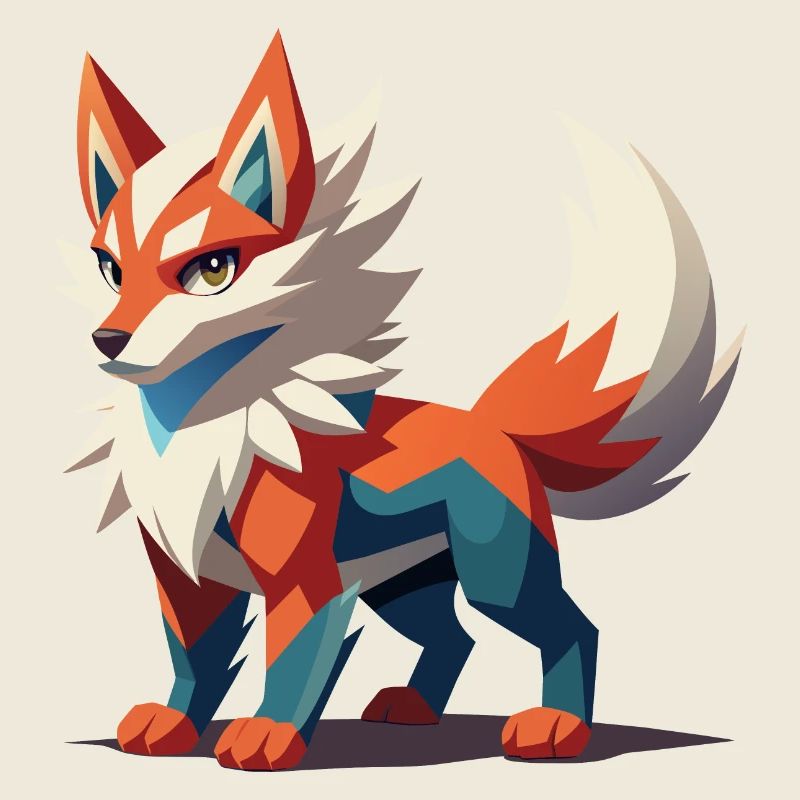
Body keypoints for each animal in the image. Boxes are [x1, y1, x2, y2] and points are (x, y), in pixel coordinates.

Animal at [65, 32, 742, 770]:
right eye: (110, 270)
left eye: (211, 271)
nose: (108, 339)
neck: (195, 431)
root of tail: (488, 427)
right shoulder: (189, 582)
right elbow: (195, 659)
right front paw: (177, 722)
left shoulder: (305, 582)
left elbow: (291, 658)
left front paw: (271, 733)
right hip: (402, 584)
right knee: (456, 636)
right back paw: (416, 708)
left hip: (494, 573)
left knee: (570, 625)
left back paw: (557, 724)